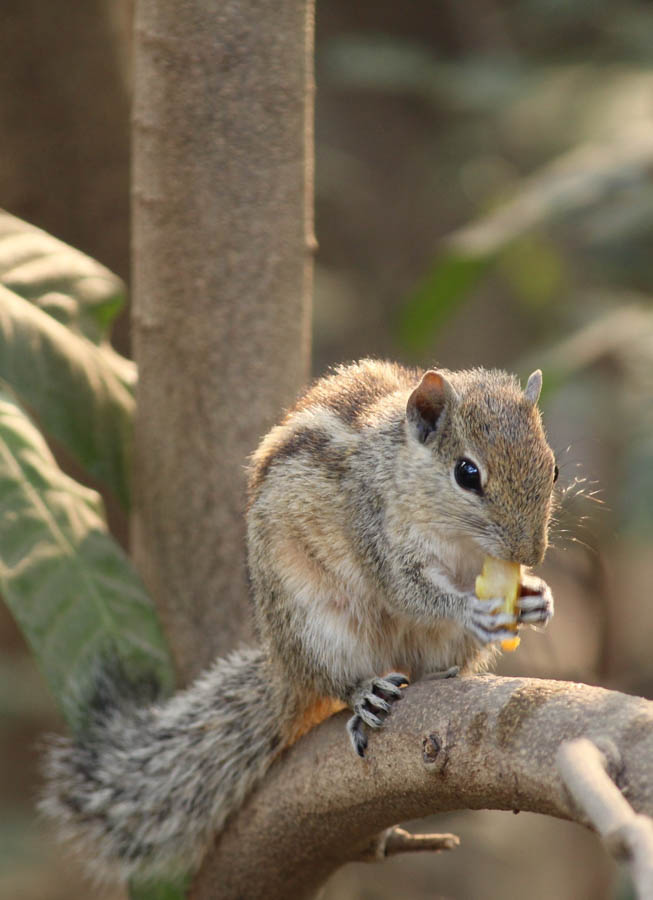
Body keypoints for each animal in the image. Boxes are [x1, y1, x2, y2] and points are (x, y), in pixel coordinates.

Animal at [39, 358, 556, 880]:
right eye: (467, 474)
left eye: (553, 469)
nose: (530, 553)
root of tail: (284, 667)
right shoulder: (376, 531)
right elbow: (409, 592)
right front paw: (474, 607)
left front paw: (535, 596)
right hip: (317, 628)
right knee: (335, 680)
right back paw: (365, 693)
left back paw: (439, 674)